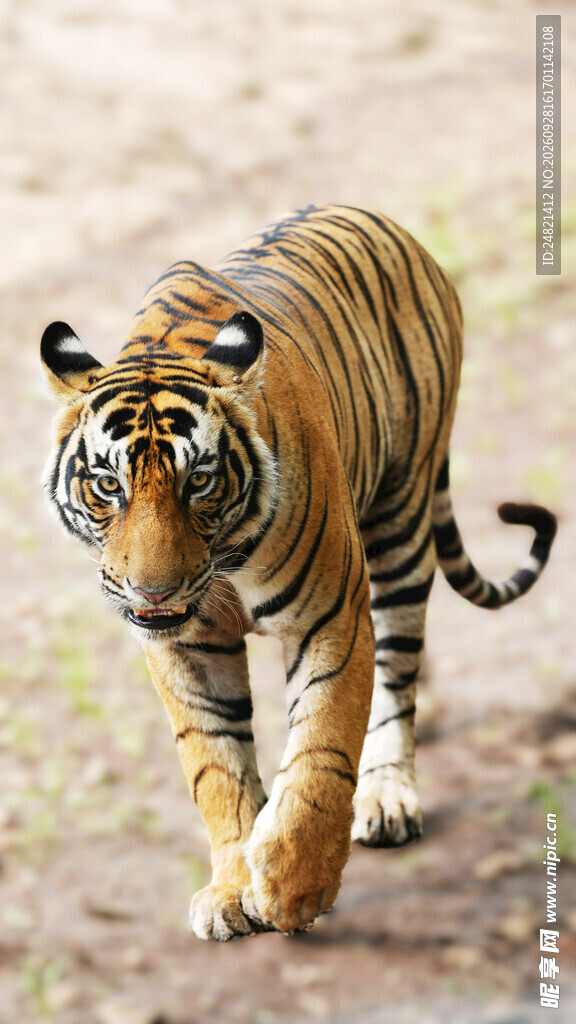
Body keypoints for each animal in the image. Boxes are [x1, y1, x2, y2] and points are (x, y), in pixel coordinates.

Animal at [41, 205, 556, 941]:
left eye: (199, 481)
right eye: (109, 485)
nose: (153, 590)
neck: (221, 566)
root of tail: (389, 224)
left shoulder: (330, 616)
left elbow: (321, 750)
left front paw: (291, 889)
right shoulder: (184, 646)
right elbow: (216, 765)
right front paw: (232, 890)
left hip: (400, 524)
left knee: (397, 673)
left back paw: (388, 795)